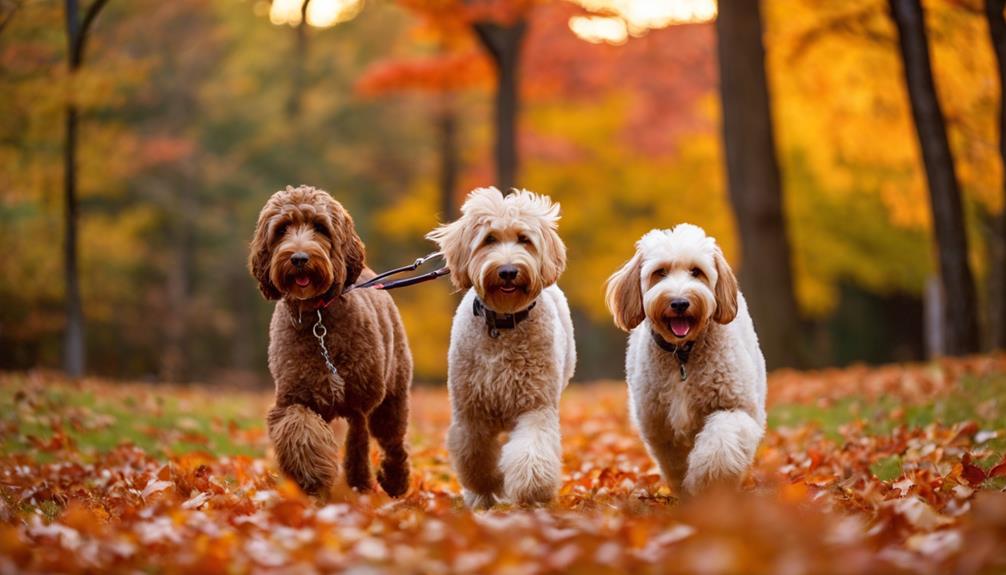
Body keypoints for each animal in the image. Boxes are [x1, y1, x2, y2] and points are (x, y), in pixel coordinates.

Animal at [249, 185, 410, 496]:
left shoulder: (360, 399)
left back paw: (394, 480)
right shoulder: (293, 398)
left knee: (390, 441)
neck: (317, 317)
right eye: (282, 229)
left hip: (391, 394)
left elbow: (359, 437)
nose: (299, 258)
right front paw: (312, 476)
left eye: (320, 227)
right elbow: (300, 430)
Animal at [428, 187, 579, 506]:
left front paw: (533, 490)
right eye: (489, 239)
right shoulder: (470, 413)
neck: (502, 323)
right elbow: (474, 457)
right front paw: (488, 485)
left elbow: (533, 450)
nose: (508, 271)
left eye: (524, 239)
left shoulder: (536, 405)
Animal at [603, 222, 760, 496]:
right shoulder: (660, 427)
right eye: (660, 272)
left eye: (696, 272)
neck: (682, 355)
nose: (679, 302)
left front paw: (709, 483)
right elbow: (675, 464)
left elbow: (721, 442)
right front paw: (687, 491)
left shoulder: (735, 407)